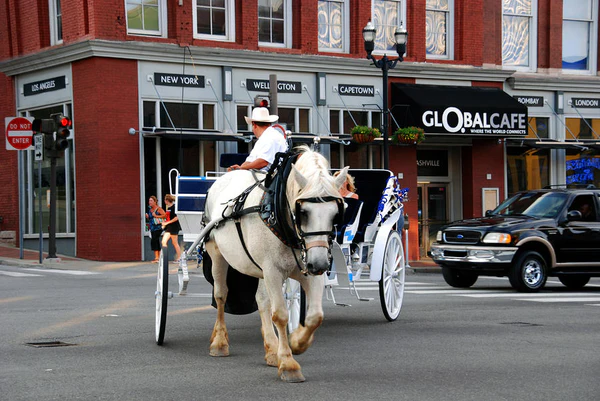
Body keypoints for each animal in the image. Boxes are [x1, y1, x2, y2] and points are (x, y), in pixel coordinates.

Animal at [205, 146, 350, 382]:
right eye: (303, 212)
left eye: (336, 214)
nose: (320, 264)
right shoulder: (273, 271)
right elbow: (280, 314)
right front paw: (289, 363)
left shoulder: (306, 271)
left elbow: (315, 316)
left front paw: (297, 342)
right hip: (217, 253)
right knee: (221, 295)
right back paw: (219, 342)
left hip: (261, 269)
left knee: (262, 301)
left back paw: (272, 349)